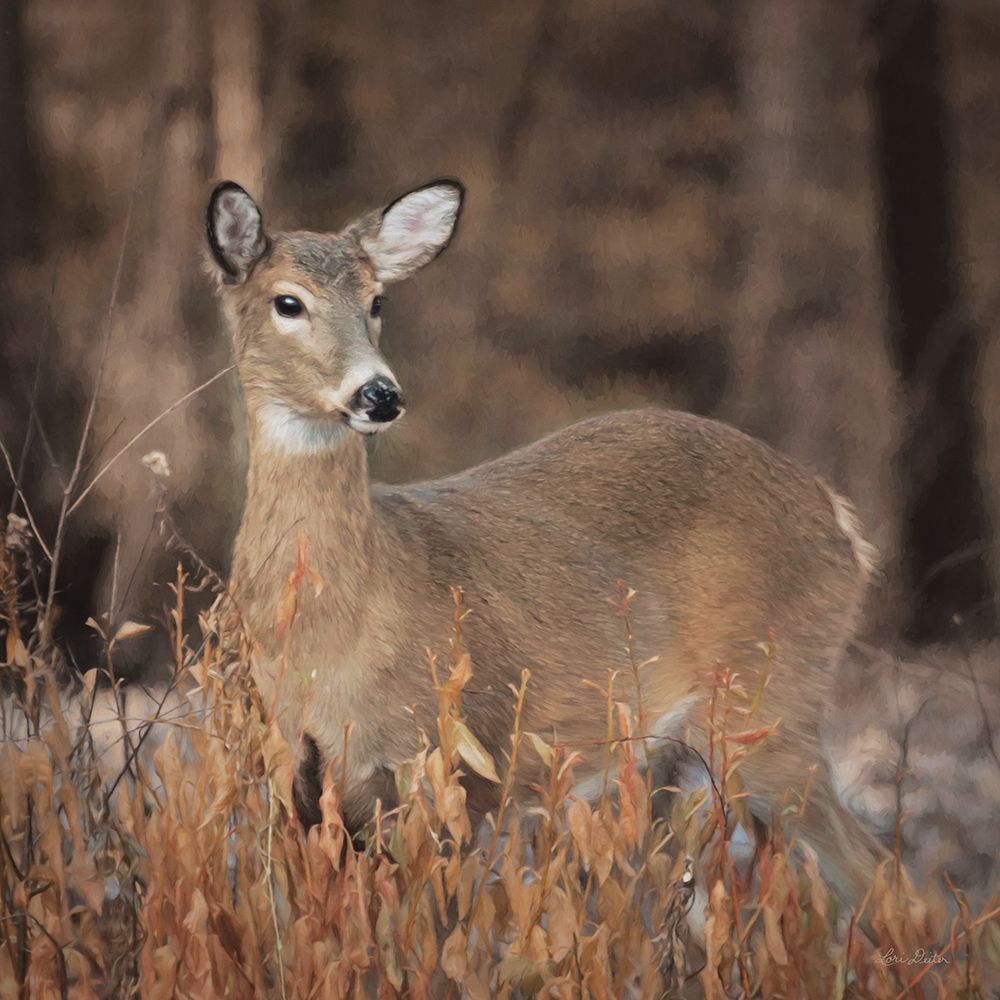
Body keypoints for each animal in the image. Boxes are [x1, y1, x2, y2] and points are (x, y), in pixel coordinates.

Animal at [205, 177, 889, 918]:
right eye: (287, 302)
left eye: (377, 300)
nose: (379, 393)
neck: (332, 636)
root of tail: (840, 518)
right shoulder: (294, 790)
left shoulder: (454, 762)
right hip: (687, 750)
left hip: (770, 701)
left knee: (881, 871)